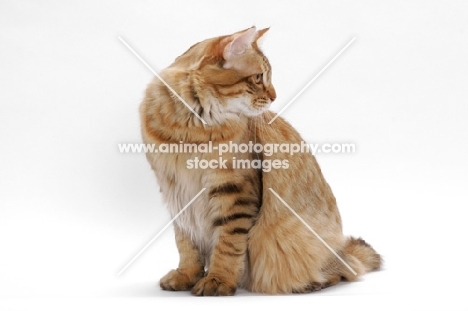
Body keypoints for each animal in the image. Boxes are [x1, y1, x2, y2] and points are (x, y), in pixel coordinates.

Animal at [139, 26, 380, 294]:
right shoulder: (176, 193)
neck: (189, 128)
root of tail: (341, 249)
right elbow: (186, 245)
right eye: (257, 78)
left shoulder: (235, 191)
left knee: (346, 270)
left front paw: (218, 280)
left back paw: (312, 283)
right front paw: (187, 275)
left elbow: (228, 245)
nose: (274, 96)